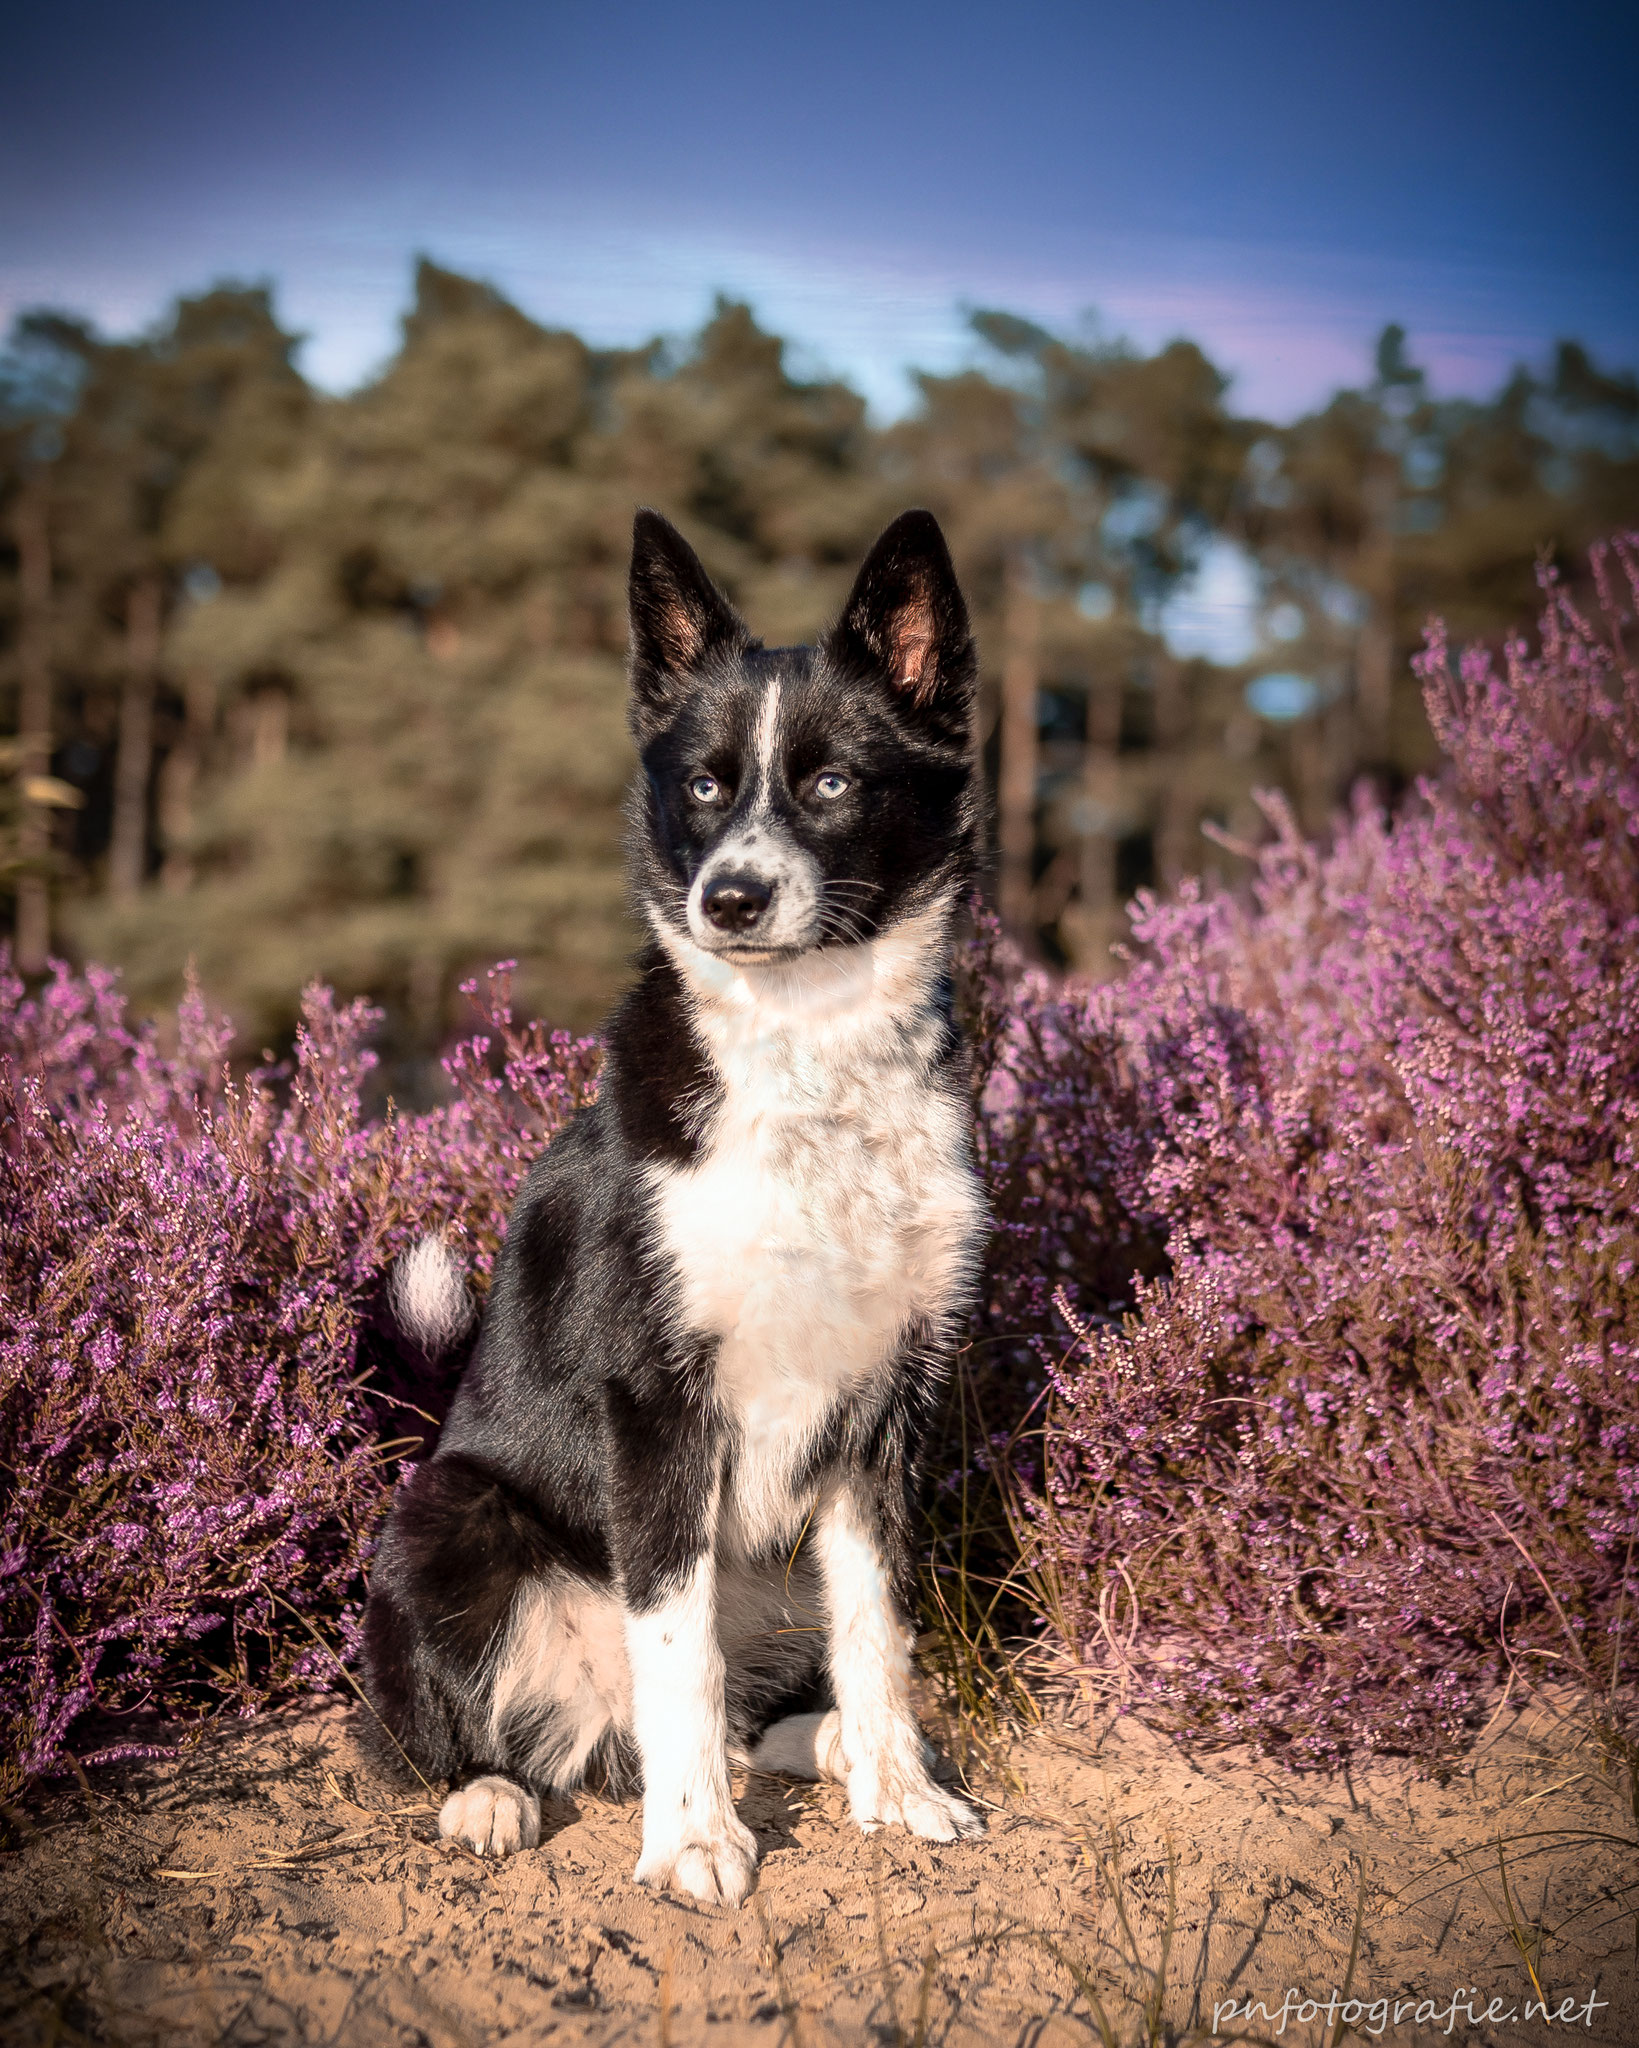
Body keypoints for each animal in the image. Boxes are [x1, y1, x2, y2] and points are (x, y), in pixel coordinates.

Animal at [362, 507, 987, 1900]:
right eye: (702, 786)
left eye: (830, 783)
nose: (731, 898)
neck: (805, 1056)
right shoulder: (656, 1410)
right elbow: (679, 1652)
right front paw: (695, 1839)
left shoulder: (884, 1412)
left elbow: (881, 1628)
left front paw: (902, 1784)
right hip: (446, 1518)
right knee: (439, 1731)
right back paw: (492, 1794)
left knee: (772, 1695)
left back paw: (838, 1745)